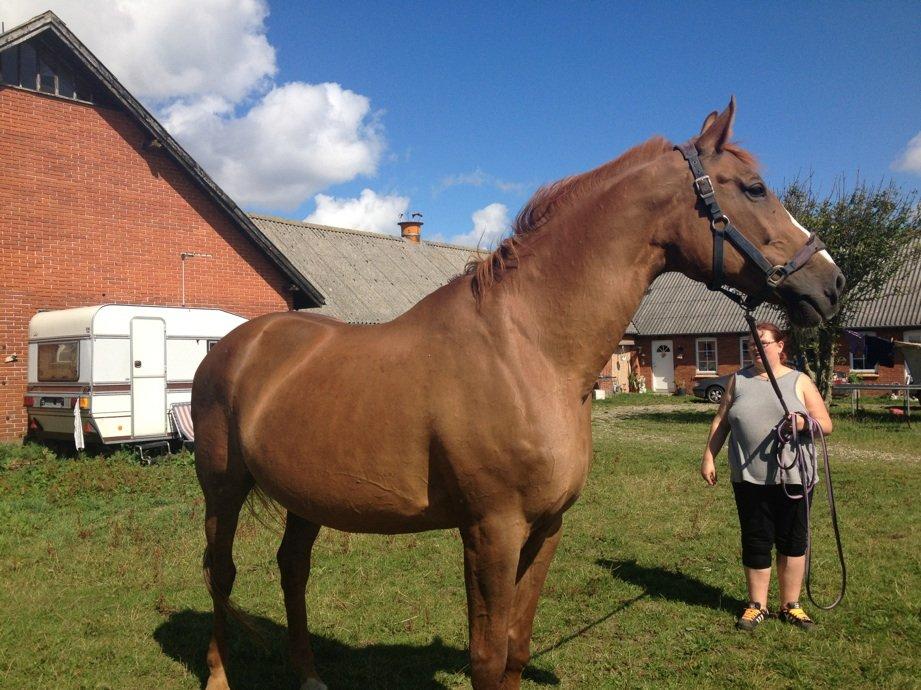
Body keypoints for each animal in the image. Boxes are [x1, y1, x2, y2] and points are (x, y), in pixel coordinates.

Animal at [192, 98, 840, 688]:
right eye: (754, 188)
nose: (830, 283)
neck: (529, 351)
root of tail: (234, 346)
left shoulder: (546, 528)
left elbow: (515, 650)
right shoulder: (491, 531)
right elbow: (486, 656)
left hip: (306, 497)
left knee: (291, 569)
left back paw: (308, 676)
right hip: (223, 489)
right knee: (220, 573)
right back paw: (219, 676)